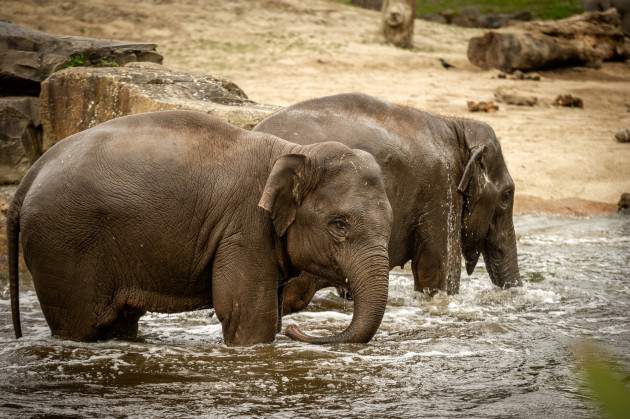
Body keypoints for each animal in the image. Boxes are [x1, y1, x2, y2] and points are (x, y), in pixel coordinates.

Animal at [8, 110, 396, 346]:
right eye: (340, 225)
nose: (295, 330)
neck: (295, 151)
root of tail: (29, 177)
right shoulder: (243, 228)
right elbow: (248, 315)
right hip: (62, 243)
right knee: (80, 323)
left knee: (119, 321)